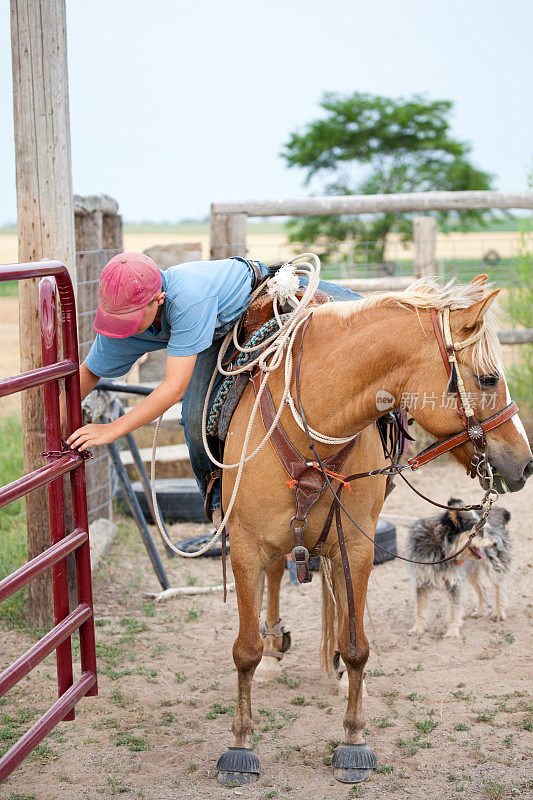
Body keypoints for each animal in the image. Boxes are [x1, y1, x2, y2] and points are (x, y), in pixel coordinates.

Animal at [408, 500, 512, 636]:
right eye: (478, 530)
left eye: (485, 529)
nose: (495, 543)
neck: (440, 545)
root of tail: (499, 511)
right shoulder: (421, 581)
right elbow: (420, 608)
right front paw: (418, 628)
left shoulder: (454, 582)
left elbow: (454, 609)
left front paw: (452, 633)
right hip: (471, 571)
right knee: (482, 589)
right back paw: (479, 611)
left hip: (495, 566)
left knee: (500, 587)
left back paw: (499, 613)